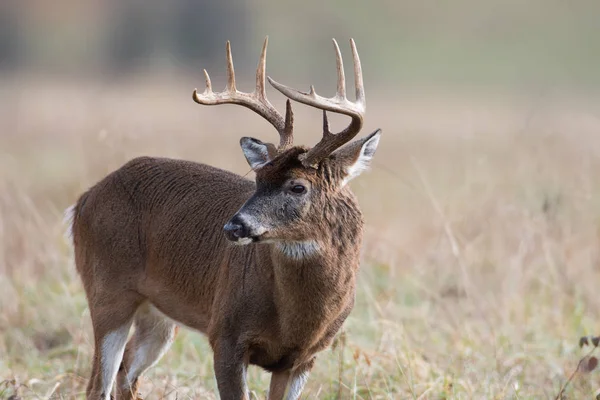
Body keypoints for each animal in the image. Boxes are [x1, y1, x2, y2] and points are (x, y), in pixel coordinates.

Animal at [65, 37, 382, 400]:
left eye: (298, 186)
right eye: (258, 179)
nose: (234, 226)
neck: (296, 320)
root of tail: (84, 200)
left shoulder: (303, 358)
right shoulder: (226, 334)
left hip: (159, 316)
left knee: (127, 372)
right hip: (107, 290)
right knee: (97, 384)